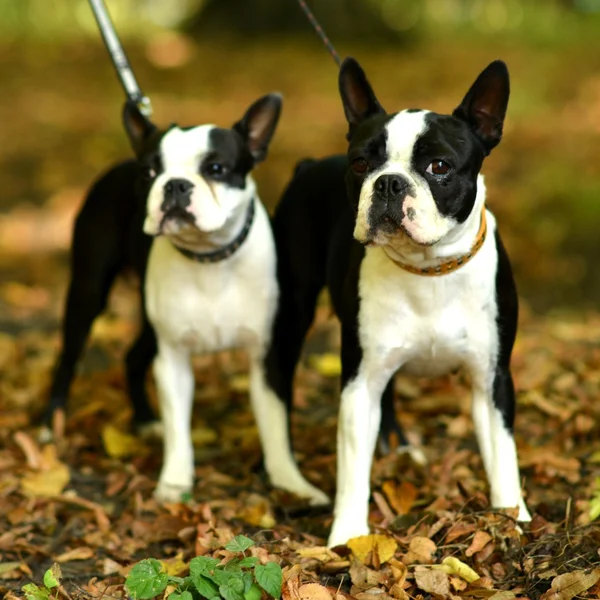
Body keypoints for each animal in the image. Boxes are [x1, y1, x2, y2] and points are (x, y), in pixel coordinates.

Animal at [46, 95, 328, 506]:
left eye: (215, 168)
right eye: (150, 172)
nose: (175, 185)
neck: (209, 259)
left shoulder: (268, 357)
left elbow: (275, 427)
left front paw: (292, 484)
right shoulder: (173, 360)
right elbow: (179, 428)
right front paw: (175, 485)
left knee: (132, 356)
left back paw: (145, 421)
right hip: (87, 292)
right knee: (68, 358)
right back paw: (50, 425)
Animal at [268, 58, 536, 548]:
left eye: (439, 166)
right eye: (360, 163)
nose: (389, 182)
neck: (428, 269)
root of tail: (309, 164)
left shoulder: (492, 379)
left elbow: (503, 453)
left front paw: (514, 518)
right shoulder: (358, 383)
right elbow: (353, 467)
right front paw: (347, 536)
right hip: (294, 310)